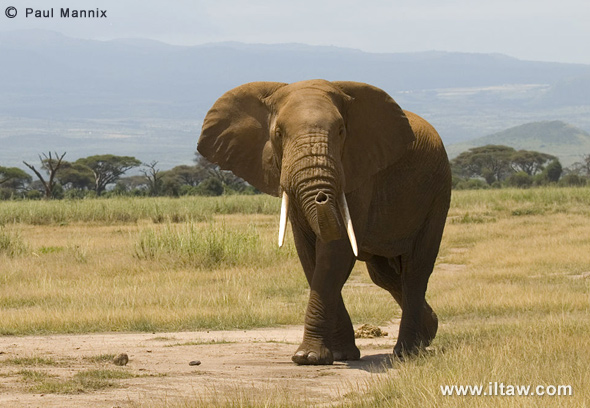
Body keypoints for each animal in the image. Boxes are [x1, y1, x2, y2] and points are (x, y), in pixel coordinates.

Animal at [199, 78, 454, 364]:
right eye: (278, 133)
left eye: (341, 131)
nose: (322, 198)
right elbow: (310, 255)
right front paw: (339, 354)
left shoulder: (360, 172)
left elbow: (334, 252)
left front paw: (308, 357)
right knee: (384, 275)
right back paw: (428, 331)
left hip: (438, 193)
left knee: (415, 269)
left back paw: (407, 352)